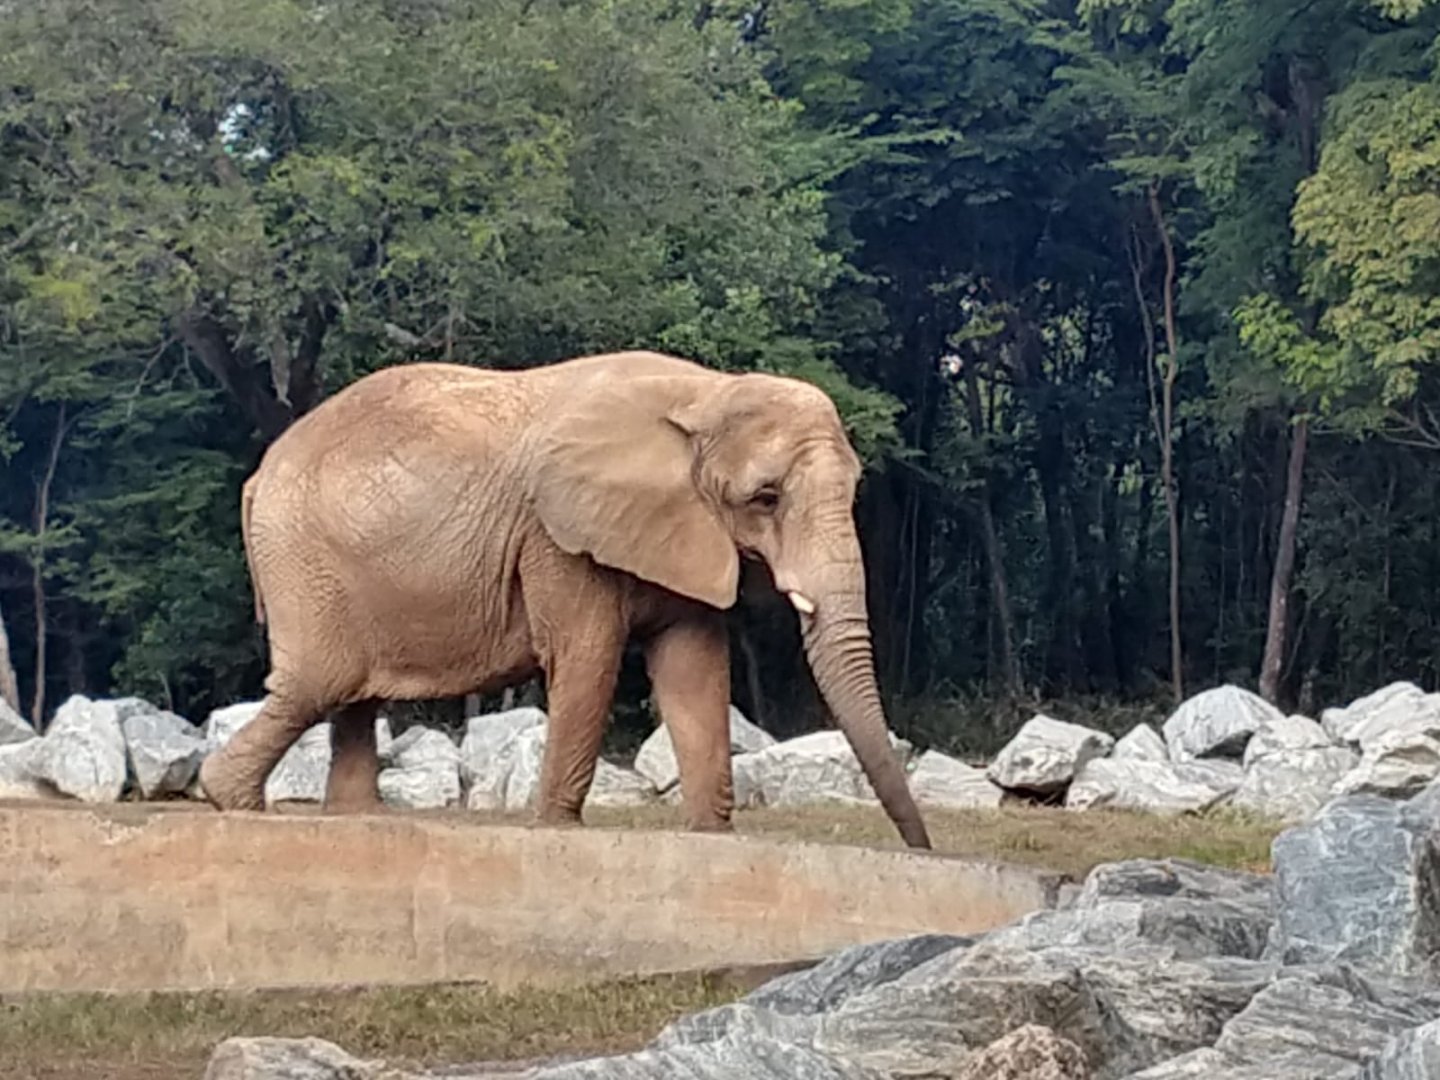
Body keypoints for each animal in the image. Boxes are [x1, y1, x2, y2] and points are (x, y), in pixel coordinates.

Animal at [198, 349, 932, 850]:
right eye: (766, 498)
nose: (920, 848)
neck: (704, 393)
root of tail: (259, 476)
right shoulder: (556, 536)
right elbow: (588, 657)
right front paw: (554, 828)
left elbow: (693, 667)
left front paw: (710, 837)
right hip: (305, 564)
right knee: (319, 682)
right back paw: (233, 802)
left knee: (350, 698)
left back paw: (355, 820)